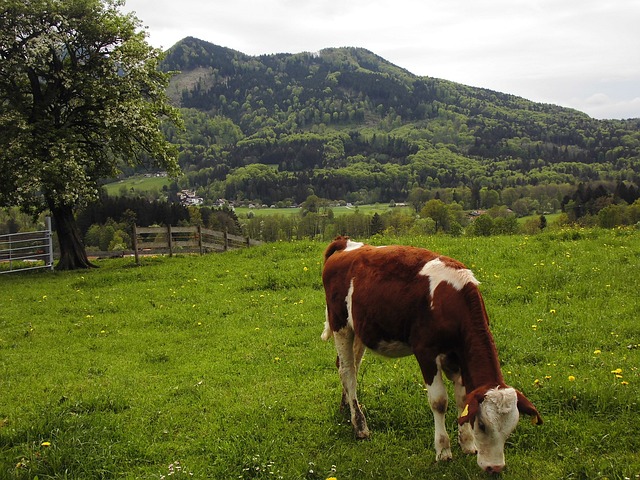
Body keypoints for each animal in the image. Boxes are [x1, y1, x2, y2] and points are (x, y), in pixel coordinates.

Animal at [320, 236, 540, 472]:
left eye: (511, 428)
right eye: (482, 424)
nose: (495, 468)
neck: (451, 301)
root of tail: (346, 243)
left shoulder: (458, 356)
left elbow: (462, 400)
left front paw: (467, 444)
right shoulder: (425, 352)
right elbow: (439, 402)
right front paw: (443, 450)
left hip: (360, 329)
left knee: (349, 366)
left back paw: (347, 408)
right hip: (340, 324)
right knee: (348, 372)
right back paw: (360, 425)